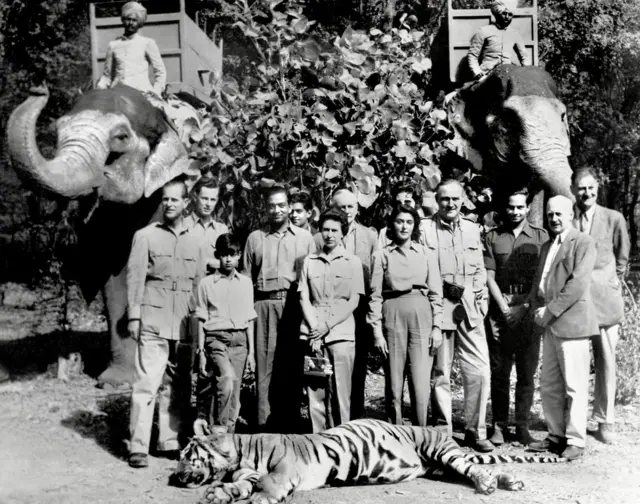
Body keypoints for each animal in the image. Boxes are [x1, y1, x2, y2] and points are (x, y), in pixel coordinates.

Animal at [6, 83, 195, 386]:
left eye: (120, 138)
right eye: (57, 133)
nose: (39, 90)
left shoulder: (159, 199)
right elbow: (116, 280)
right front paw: (115, 381)